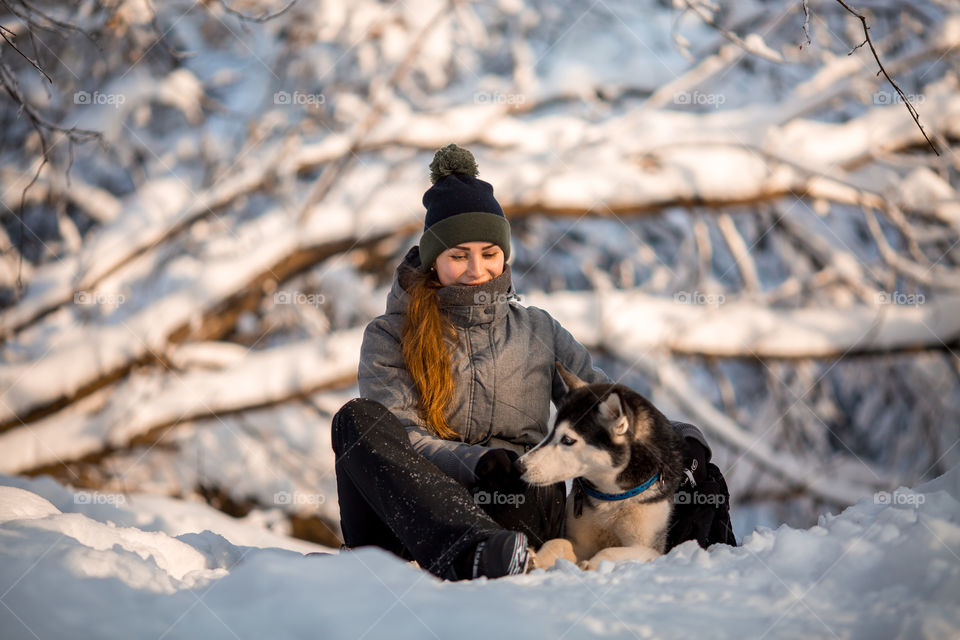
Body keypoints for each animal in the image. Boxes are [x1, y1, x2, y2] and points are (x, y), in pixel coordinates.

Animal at [516, 362, 684, 568]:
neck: (611, 497)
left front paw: (591, 564)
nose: (519, 465)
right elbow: (558, 543)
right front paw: (535, 560)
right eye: (550, 433)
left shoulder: (649, 547)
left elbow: (609, 551)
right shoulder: (580, 540)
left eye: (568, 440)